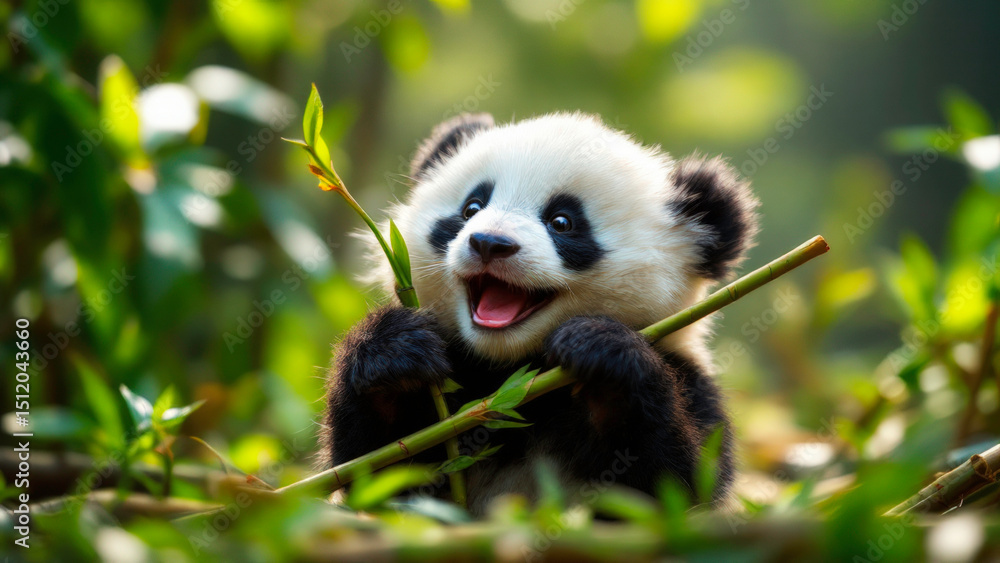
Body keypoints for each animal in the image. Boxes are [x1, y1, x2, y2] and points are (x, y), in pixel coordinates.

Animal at [322, 112, 758, 515]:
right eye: (471, 207)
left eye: (562, 222)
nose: (489, 242)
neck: (512, 371)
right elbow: (380, 470)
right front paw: (395, 353)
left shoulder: (690, 379)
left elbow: (671, 486)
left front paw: (602, 354)